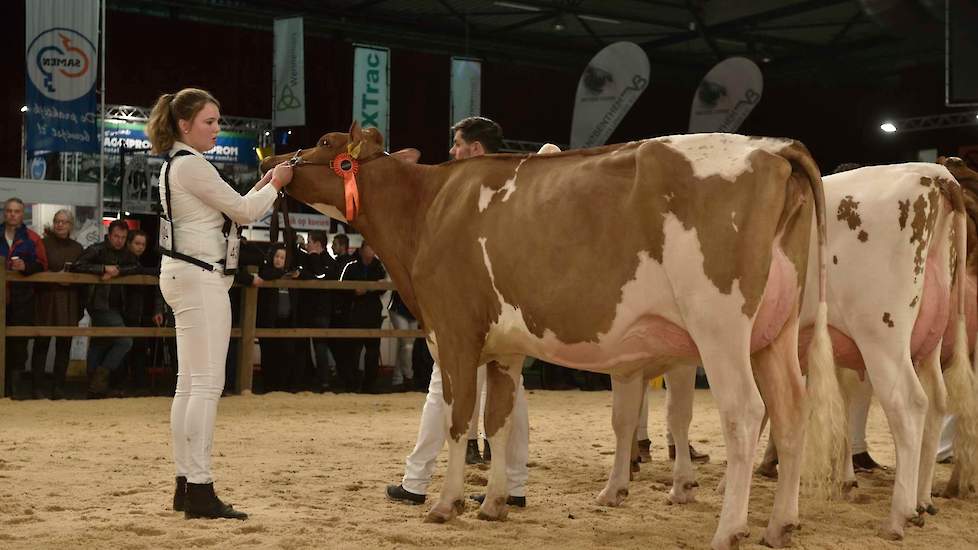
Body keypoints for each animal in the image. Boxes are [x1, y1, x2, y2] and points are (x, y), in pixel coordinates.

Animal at [264, 125, 844, 550]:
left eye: (325, 143)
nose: (277, 162)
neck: (428, 208)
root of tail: (773, 148)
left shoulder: (452, 333)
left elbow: (458, 420)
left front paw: (446, 504)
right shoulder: (504, 349)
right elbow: (497, 422)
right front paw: (494, 503)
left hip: (720, 326)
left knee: (744, 413)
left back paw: (729, 529)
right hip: (775, 333)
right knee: (791, 412)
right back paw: (781, 524)